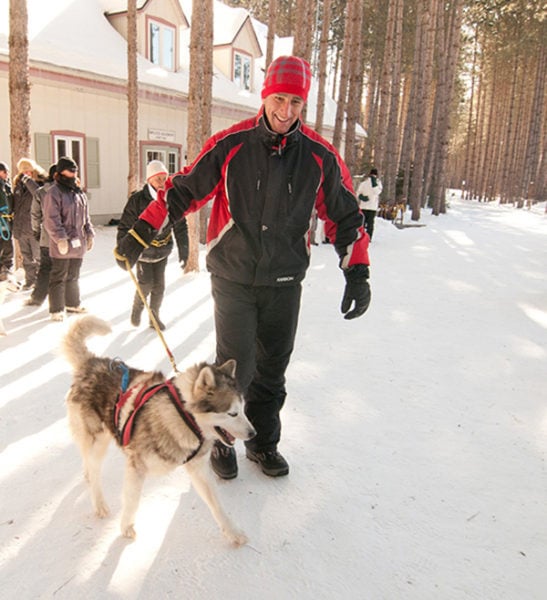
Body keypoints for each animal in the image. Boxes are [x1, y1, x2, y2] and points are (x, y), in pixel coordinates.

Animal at [62, 316, 256, 548]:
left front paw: (233, 532)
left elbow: (217, 505)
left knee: (88, 460)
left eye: (243, 409)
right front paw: (126, 527)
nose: (253, 434)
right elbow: (132, 501)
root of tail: (91, 362)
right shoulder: (136, 466)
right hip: (98, 439)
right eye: (232, 413)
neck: (182, 415)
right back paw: (99, 501)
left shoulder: (198, 469)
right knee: (94, 468)